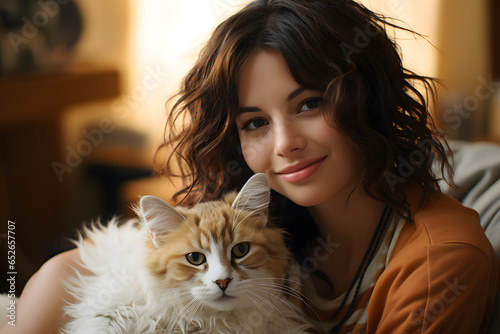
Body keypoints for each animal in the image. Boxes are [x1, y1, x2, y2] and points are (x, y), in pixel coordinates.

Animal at [62, 174, 312, 332]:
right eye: (195, 258)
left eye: (241, 250)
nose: (223, 282)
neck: (212, 322)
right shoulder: (108, 309)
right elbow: (102, 324)